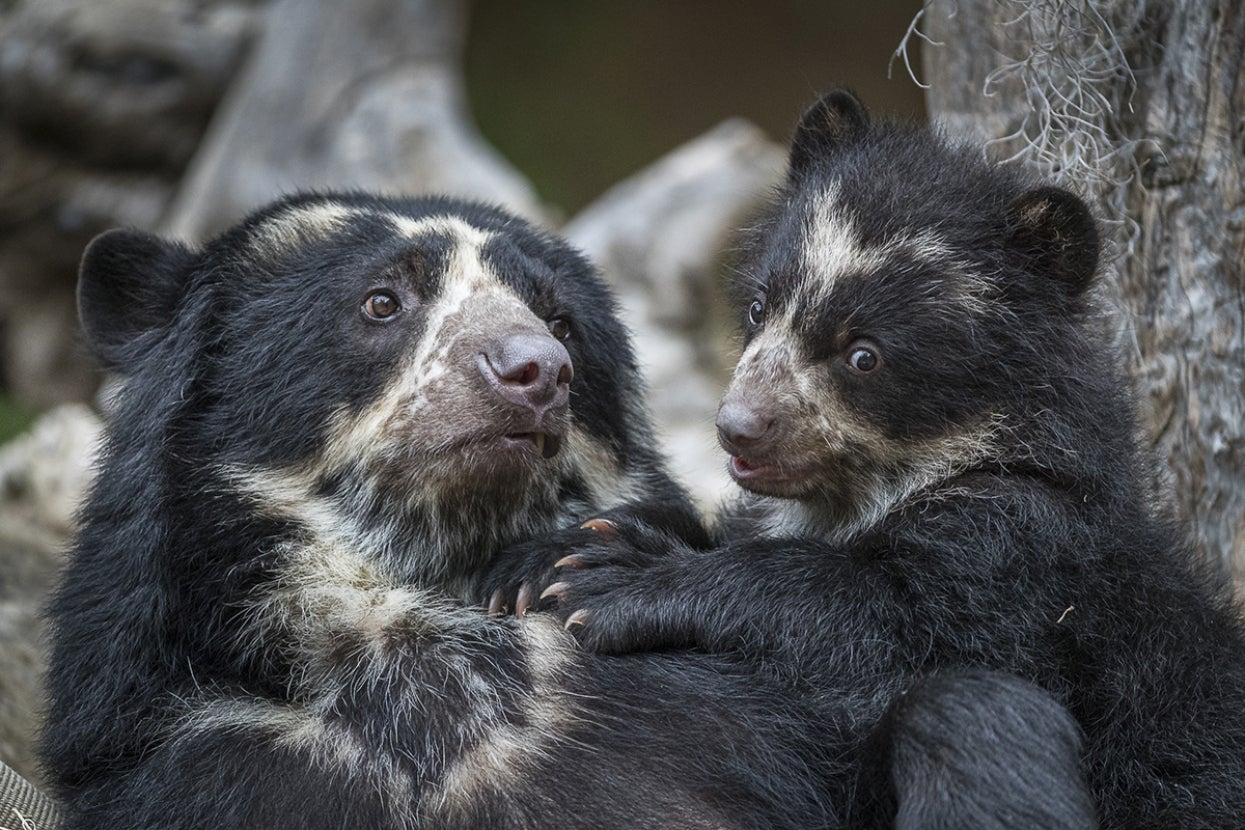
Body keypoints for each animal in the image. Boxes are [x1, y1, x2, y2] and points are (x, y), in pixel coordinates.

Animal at [40, 191, 1093, 829]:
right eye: (382, 302)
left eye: (559, 320)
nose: (532, 370)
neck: (408, 643)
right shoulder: (198, 762)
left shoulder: (760, 717)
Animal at [535, 91, 1245, 829]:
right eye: (760, 308)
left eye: (863, 354)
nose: (737, 430)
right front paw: (553, 556)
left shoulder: (1019, 550)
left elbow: (881, 623)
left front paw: (613, 581)